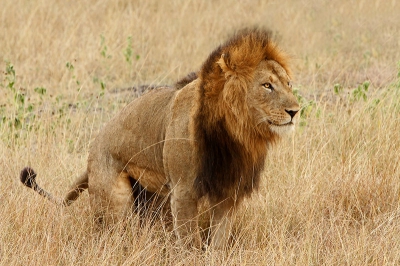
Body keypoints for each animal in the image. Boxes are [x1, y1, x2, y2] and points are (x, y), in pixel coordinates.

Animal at [19, 29, 300, 249]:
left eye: (289, 84)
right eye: (267, 86)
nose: (295, 111)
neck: (235, 133)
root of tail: (92, 151)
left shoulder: (226, 190)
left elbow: (219, 240)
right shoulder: (184, 191)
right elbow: (190, 242)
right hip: (116, 201)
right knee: (113, 234)